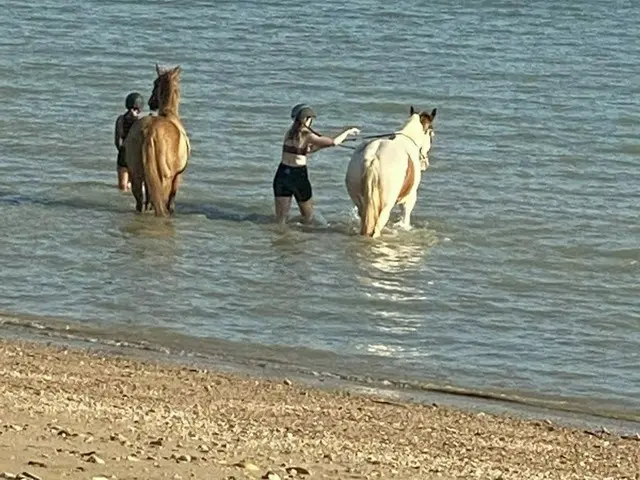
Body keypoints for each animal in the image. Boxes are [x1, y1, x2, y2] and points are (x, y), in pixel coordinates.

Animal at [124, 63, 190, 216]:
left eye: (155, 83)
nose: (151, 103)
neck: (169, 114)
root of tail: (149, 131)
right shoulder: (177, 177)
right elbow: (171, 199)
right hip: (165, 177)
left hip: (136, 174)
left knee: (140, 201)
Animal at [344, 107, 436, 238]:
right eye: (431, 133)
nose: (425, 163)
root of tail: (373, 158)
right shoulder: (410, 199)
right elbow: (406, 218)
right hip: (385, 206)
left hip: (361, 203)